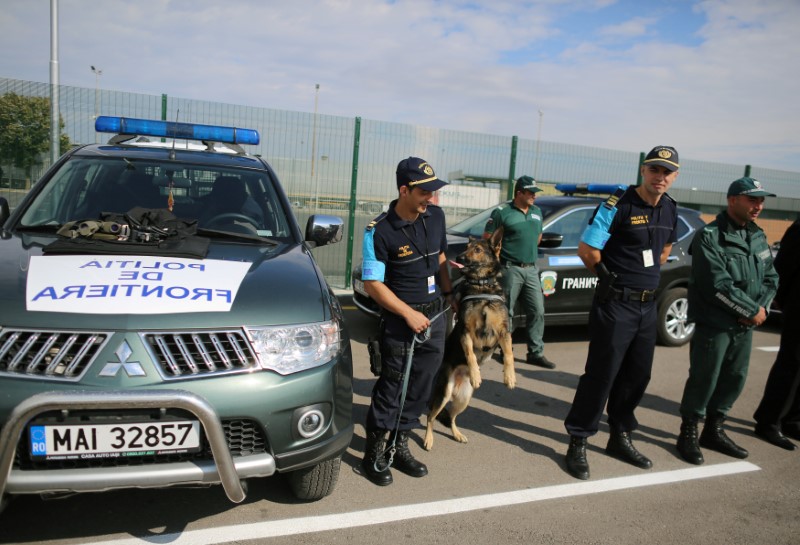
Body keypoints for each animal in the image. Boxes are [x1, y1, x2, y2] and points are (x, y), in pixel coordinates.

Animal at [422, 236, 516, 448]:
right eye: (466, 247)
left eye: (478, 249)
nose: (458, 257)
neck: (482, 285)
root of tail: (457, 383)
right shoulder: (466, 331)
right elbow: (471, 354)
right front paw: (475, 374)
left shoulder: (504, 331)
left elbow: (509, 354)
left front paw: (510, 377)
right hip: (444, 393)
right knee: (431, 417)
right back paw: (428, 439)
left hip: (464, 399)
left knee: (451, 418)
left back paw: (457, 434)